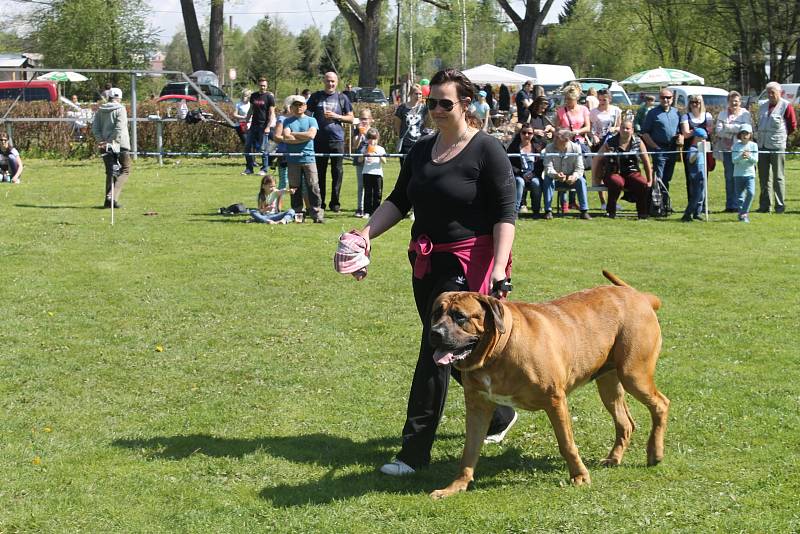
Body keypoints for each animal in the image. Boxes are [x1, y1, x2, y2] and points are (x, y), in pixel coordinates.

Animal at [432, 272, 668, 502]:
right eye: (436, 313)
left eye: (460, 316)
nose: (434, 332)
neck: (497, 352)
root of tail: (641, 296)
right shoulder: (478, 407)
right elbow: (469, 450)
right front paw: (455, 486)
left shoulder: (555, 400)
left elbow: (567, 443)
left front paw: (580, 476)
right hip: (609, 384)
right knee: (625, 423)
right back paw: (614, 458)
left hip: (634, 374)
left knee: (661, 404)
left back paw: (655, 453)